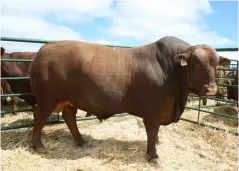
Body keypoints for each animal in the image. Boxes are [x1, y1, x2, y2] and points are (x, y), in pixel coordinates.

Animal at [29, 35, 231, 163]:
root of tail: (43, 50)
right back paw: (38, 145)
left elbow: (155, 133)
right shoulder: (152, 109)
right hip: (47, 98)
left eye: (215, 65)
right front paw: (153, 155)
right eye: (195, 65)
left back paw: (81, 141)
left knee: (69, 116)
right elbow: (152, 131)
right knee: (39, 117)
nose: (212, 89)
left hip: (69, 99)